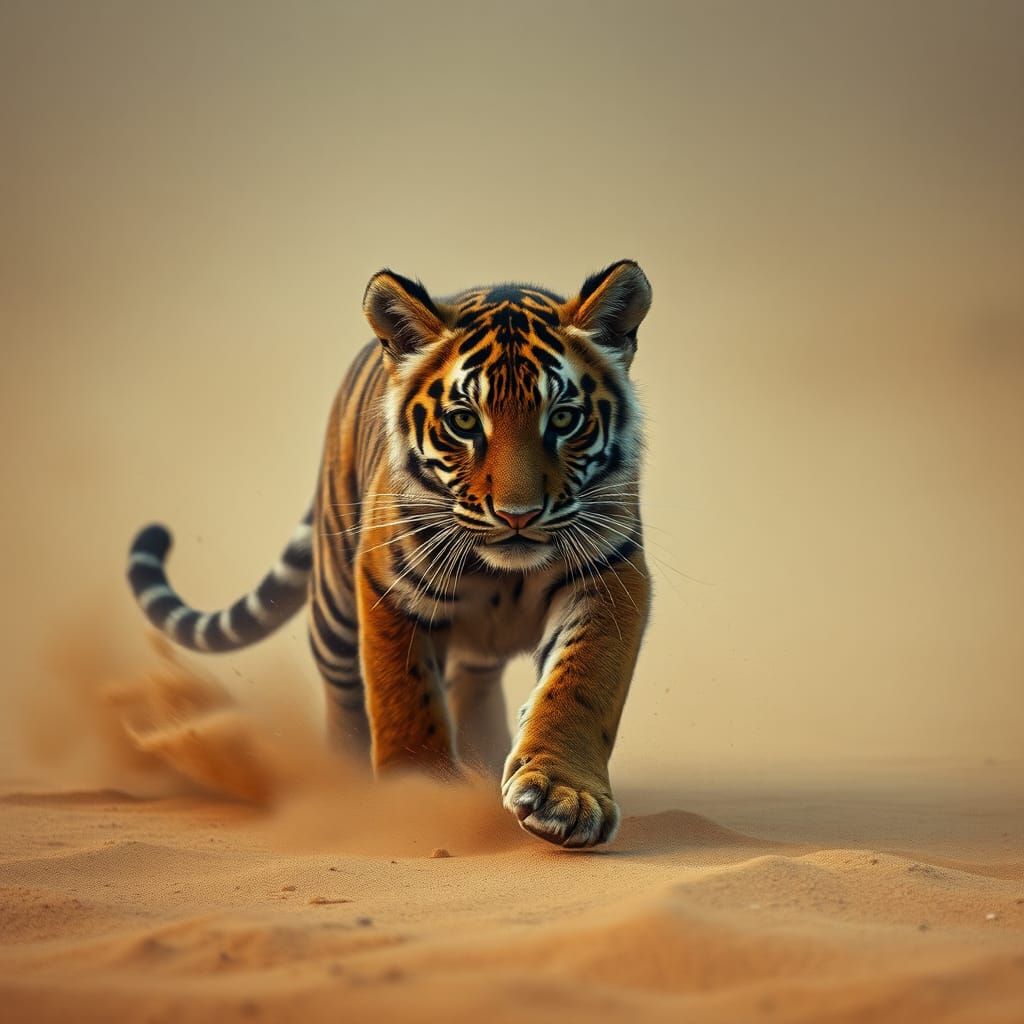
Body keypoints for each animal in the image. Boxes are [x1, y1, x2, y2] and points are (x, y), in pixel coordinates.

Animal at [127, 260, 653, 848]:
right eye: (464, 422)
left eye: (563, 419)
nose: (517, 515)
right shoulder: (391, 586)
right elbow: (403, 694)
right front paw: (419, 798)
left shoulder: (611, 572)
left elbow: (582, 680)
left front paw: (565, 795)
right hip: (334, 606)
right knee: (344, 694)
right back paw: (349, 780)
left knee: (473, 680)